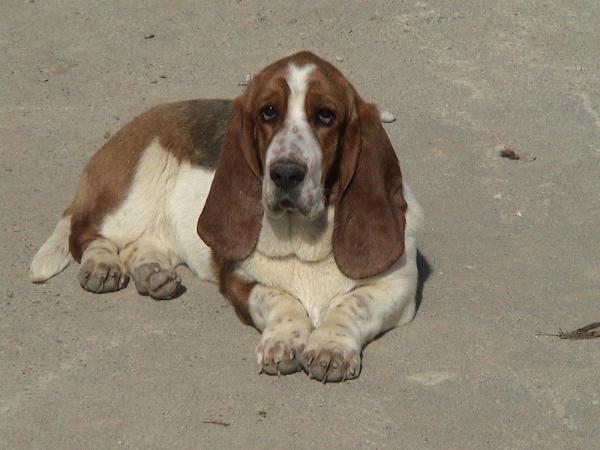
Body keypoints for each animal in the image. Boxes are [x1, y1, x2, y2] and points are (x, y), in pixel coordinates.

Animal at [29, 52, 422, 384]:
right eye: (267, 112)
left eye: (326, 115)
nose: (285, 173)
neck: (303, 237)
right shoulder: (240, 281)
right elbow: (280, 299)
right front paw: (284, 339)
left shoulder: (398, 286)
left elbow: (353, 303)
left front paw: (330, 346)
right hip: (131, 193)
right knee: (84, 234)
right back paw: (102, 265)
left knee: (143, 245)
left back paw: (153, 273)